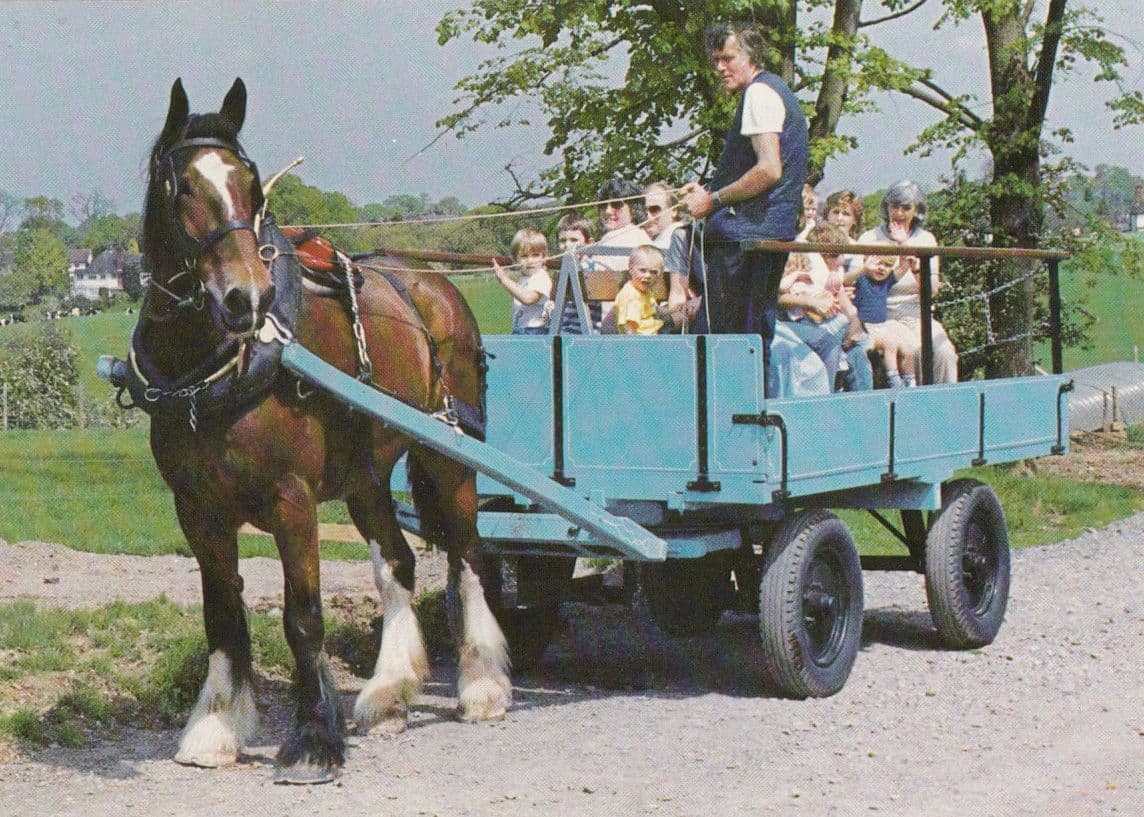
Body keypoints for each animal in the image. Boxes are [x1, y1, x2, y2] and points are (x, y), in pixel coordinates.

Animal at [135, 77, 511, 783]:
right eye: (183, 188)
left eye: (252, 186)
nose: (246, 298)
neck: (216, 367)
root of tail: (433, 284)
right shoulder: (196, 509)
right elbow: (222, 617)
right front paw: (214, 728)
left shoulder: (293, 500)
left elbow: (302, 618)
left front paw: (312, 740)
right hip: (365, 474)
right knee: (398, 562)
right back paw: (389, 695)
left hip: (449, 455)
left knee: (468, 554)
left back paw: (482, 685)